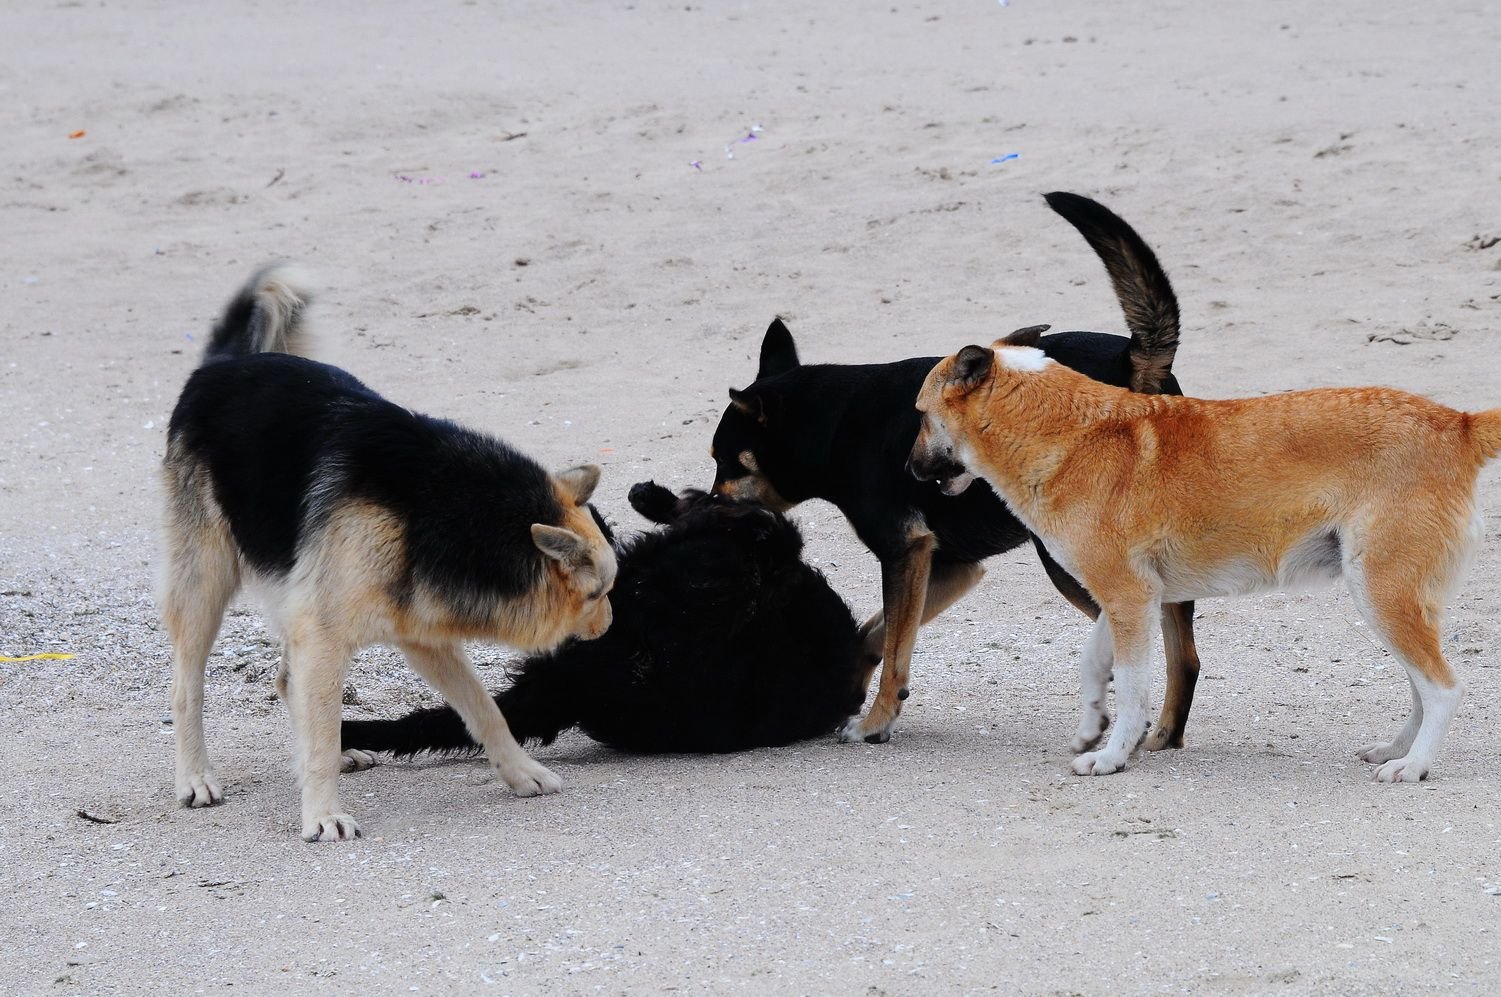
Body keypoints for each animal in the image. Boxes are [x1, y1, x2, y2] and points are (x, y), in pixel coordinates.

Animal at [158, 264, 615, 840]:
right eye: (598, 593)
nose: (610, 627)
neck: (446, 512)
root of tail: (222, 365)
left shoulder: (422, 636)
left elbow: (483, 707)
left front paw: (520, 772)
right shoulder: (326, 636)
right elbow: (322, 733)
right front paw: (322, 813)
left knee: (288, 681)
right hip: (206, 584)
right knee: (187, 687)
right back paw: (196, 777)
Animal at [705, 192, 1206, 747]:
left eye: (724, 461)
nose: (707, 505)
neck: (832, 422)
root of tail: (1131, 358)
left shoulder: (904, 552)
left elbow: (895, 650)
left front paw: (875, 721)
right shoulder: (946, 564)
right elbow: (877, 635)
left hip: (1067, 557)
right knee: (1183, 651)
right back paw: (1165, 733)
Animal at [900, 342, 1501, 780]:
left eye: (922, 415)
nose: (907, 471)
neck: (1069, 433)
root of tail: (1458, 422)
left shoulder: (1127, 597)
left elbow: (1133, 684)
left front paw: (1112, 756)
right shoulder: (1129, 597)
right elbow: (1094, 662)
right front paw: (1093, 722)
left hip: (1381, 595)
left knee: (1444, 688)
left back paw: (1415, 766)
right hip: (1394, 600)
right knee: (1422, 688)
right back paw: (1398, 751)